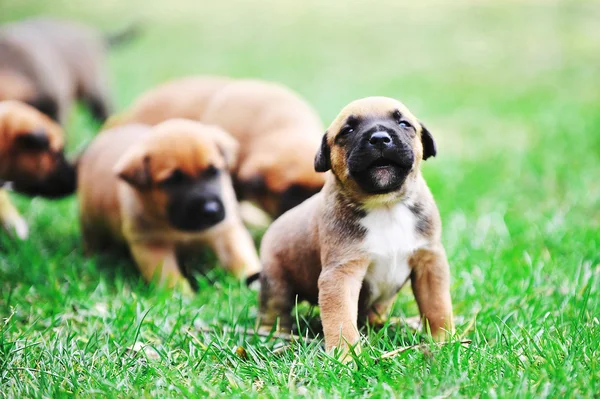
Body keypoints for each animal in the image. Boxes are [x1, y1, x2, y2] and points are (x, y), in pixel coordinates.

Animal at [77, 119, 260, 290]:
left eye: (213, 171)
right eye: (172, 181)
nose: (210, 210)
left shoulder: (225, 229)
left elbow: (240, 256)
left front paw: (254, 281)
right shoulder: (152, 245)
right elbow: (168, 276)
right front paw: (183, 296)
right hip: (90, 220)